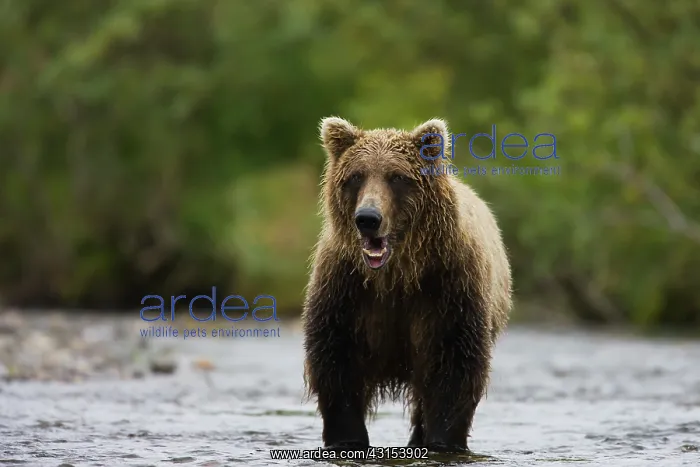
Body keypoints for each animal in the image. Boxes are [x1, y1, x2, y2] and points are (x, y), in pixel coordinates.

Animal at [302, 116, 513, 454]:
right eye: (356, 176)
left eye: (397, 177)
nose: (368, 218)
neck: (396, 274)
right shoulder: (345, 289)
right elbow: (336, 363)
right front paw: (346, 437)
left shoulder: (449, 288)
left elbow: (454, 367)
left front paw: (444, 440)